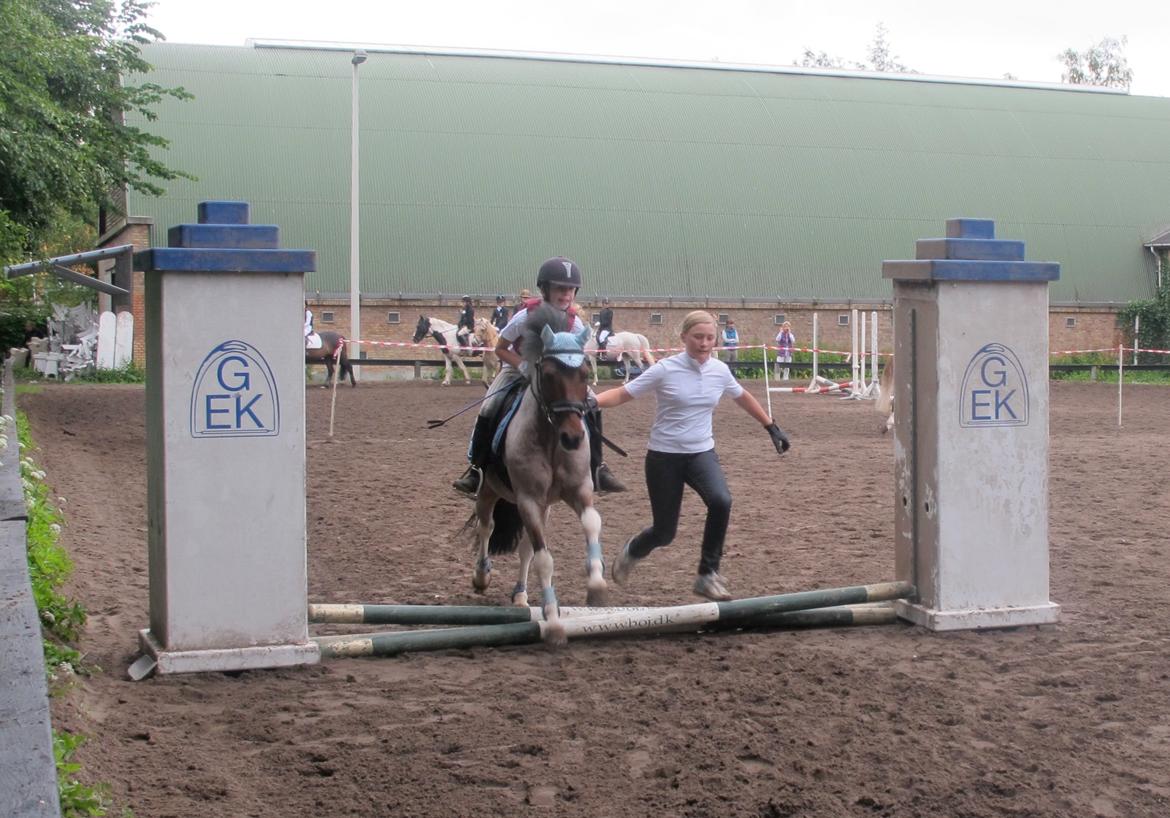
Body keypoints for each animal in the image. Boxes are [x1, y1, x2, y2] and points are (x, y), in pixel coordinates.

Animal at [470, 304, 608, 641]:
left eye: (585, 374)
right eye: (548, 375)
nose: (573, 438)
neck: (551, 439)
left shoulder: (579, 491)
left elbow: (591, 524)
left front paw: (597, 587)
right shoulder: (529, 500)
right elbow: (544, 560)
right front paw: (554, 623)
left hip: (543, 506)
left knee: (524, 550)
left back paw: (520, 595)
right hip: (489, 490)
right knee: (486, 527)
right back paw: (481, 576)